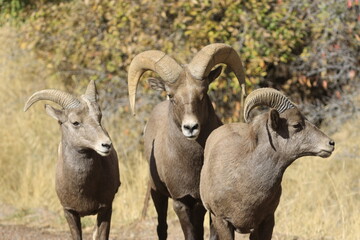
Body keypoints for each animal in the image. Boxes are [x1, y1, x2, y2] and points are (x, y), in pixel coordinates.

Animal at [128, 43, 246, 240]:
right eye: (171, 95)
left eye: (203, 92)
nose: (191, 127)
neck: (193, 164)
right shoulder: (181, 202)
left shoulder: (205, 205)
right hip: (157, 194)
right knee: (161, 227)